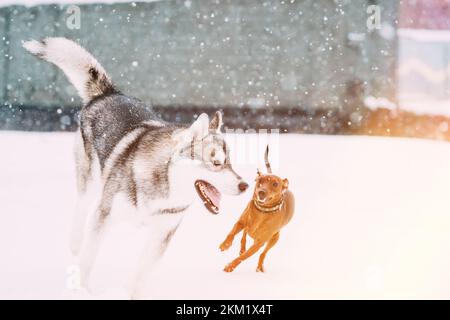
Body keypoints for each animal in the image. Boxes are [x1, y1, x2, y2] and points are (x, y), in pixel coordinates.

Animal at [22, 38, 250, 298]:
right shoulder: (104, 216)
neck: (164, 185)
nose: (245, 185)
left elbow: (140, 275)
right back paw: (75, 243)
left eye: (230, 162)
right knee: (82, 208)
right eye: (216, 163)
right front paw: (81, 291)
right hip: (90, 181)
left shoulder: (161, 235)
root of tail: (109, 94)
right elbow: (88, 260)